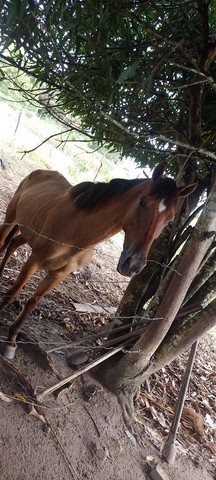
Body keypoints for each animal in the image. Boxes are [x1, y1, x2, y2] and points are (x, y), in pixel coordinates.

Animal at [0, 163, 196, 358]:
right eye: (143, 202)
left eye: (169, 219)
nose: (133, 265)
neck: (77, 232)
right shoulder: (34, 260)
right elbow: (13, 293)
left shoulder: (59, 274)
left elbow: (32, 303)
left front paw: (11, 340)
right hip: (11, 220)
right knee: (3, 243)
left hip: (27, 232)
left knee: (12, 245)